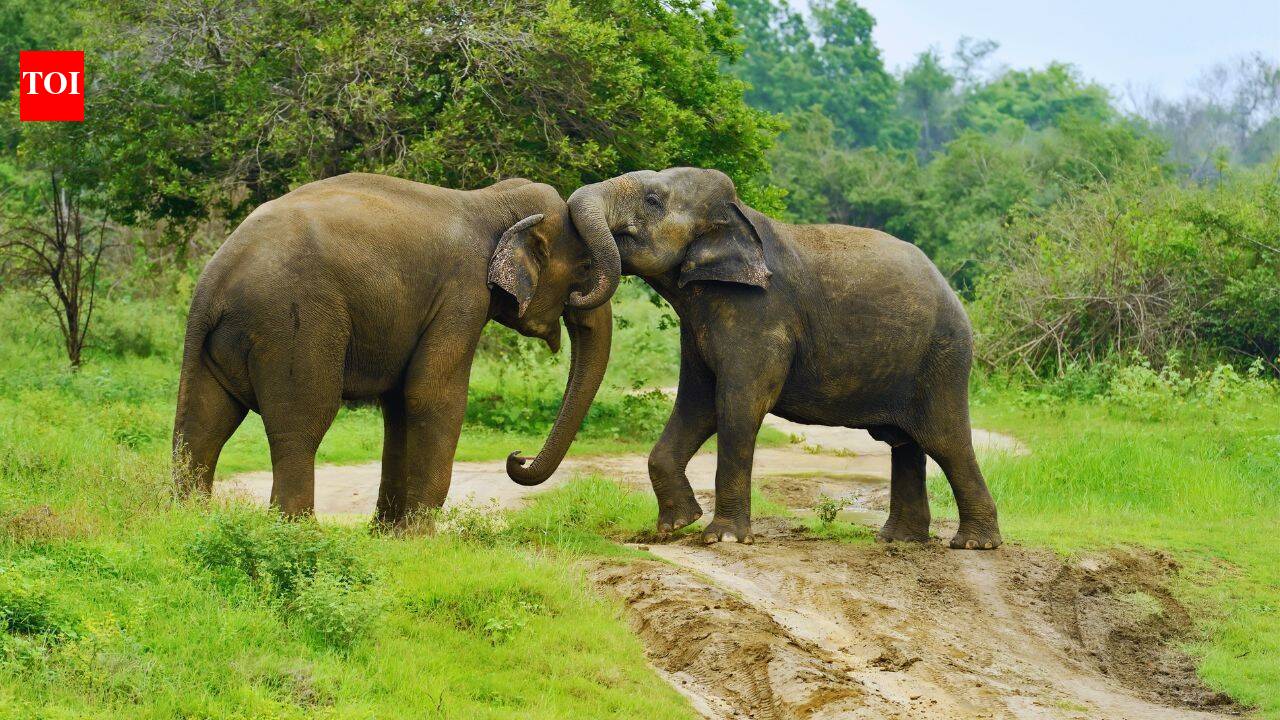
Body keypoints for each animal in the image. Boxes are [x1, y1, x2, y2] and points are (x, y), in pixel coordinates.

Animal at [172, 172, 621, 524]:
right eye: (585, 268)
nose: (517, 457)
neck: (494, 201)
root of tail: (213, 281)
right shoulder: (463, 293)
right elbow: (431, 394)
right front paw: (420, 537)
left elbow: (401, 402)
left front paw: (388, 535)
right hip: (293, 323)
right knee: (302, 421)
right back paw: (298, 532)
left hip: (217, 341)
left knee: (203, 420)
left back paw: (191, 519)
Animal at [564, 167, 1001, 549]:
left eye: (653, 200)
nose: (573, 293)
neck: (739, 212)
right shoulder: (700, 322)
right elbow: (696, 403)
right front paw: (676, 525)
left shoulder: (760, 312)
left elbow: (738, 404)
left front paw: (722, 539)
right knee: (907, 443)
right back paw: (899, 541)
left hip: (943, 358)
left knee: (945, 440)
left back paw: (974, 544)